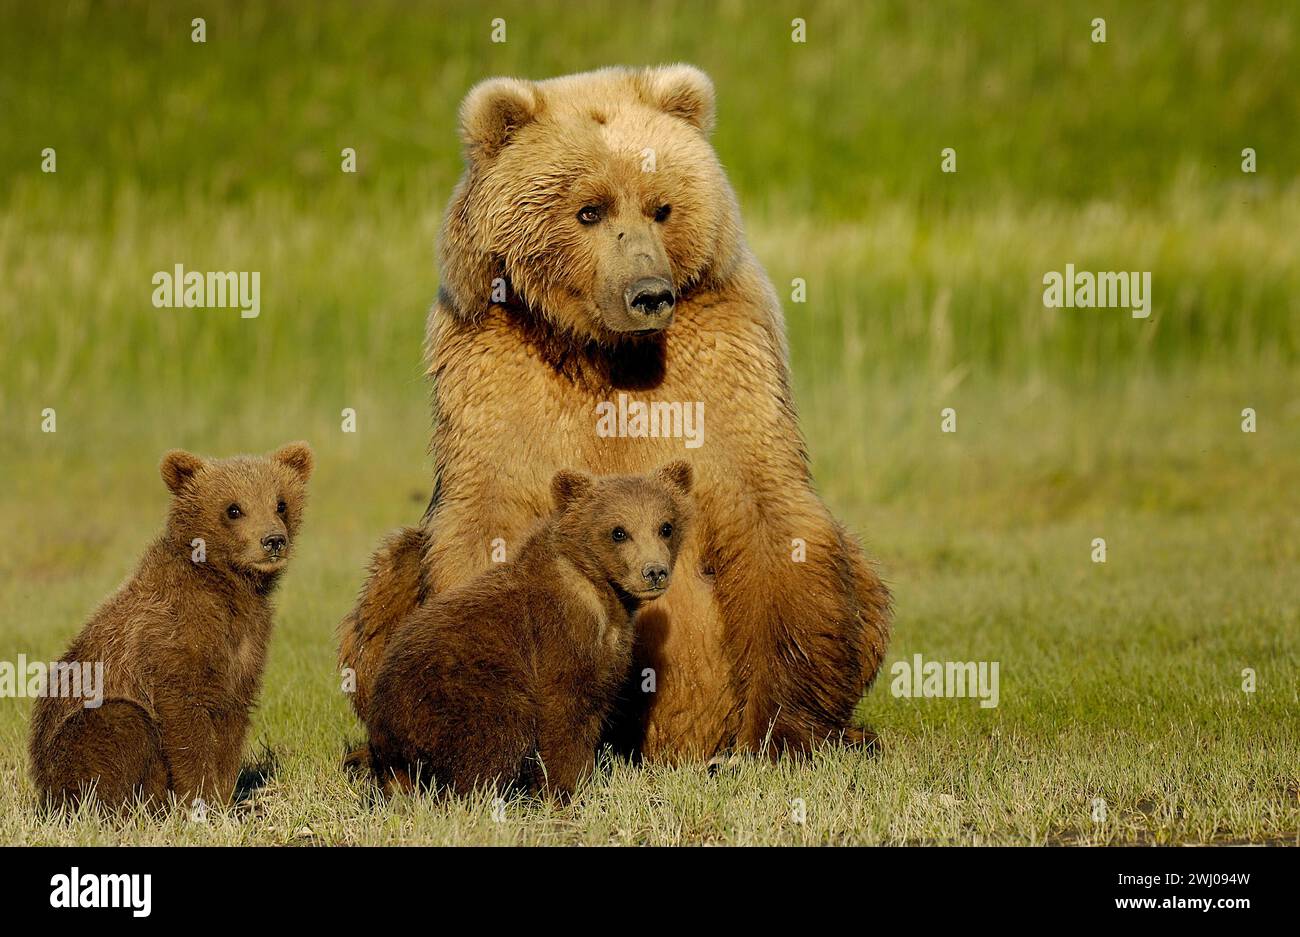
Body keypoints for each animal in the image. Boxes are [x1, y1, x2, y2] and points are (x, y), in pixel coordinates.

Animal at [29, 441, 313, 811]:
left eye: (280, 503)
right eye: (234, 509)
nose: (273, 540)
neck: (227, 587)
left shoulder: (245, 648)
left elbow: (232, 722)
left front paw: (227, 798)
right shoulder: (168, 644)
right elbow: (185, 724)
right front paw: (201, 799)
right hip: (70, 744)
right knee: (121, 723)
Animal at [338, 64, 892, 763]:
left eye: (662, 206)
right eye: (590, 209)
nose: (648, 293)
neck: (603, 352)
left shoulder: (722, 360)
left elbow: (768, 512)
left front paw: (787, 734)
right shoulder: (494, 376)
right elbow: (486, 519)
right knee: (392, 573)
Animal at [365, 461, 693, 798]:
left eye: (665, 526)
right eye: (618, 531)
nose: (654, 571)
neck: (604, 595)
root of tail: (384, 734)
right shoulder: (556, 639)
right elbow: (562, 715)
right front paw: (566, 789)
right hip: (460, 694)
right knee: (493, 739)